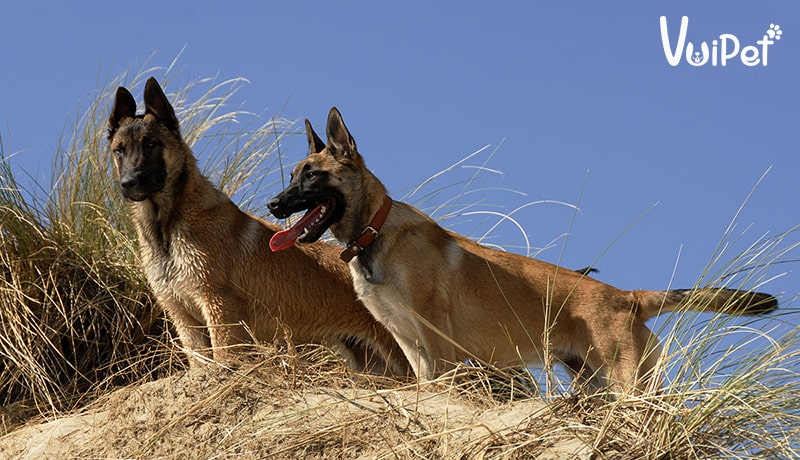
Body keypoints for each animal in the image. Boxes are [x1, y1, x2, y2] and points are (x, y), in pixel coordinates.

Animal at [105, 78, 406, 374]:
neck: (165, 227)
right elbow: (200, 362)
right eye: (119, 150)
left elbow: (223, 357)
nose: (129, 183)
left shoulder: (217, 306)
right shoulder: (184, 317)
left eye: (150, 145)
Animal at [268, 106, 776, 394]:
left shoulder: (435, 338)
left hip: (629, 383)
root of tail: (628, 297)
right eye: (292, 176)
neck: (375, 232)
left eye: (312, 176)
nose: (273, 205)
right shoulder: (410, 343)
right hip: (598, 385)